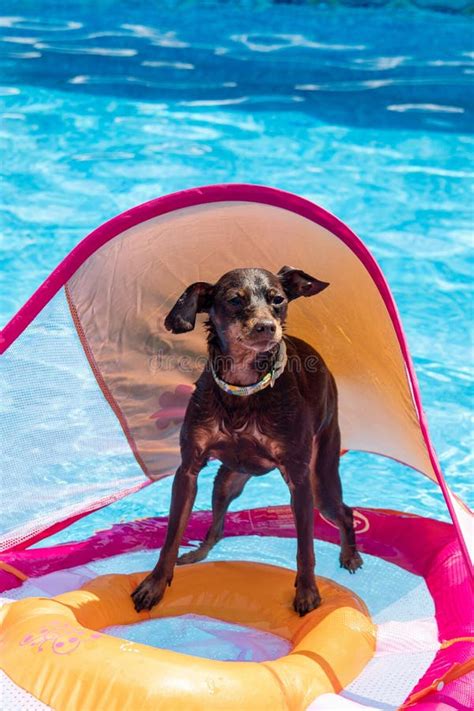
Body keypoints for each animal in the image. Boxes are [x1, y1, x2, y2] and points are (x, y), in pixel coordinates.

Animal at [131, 268, 362, 616]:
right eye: (234, 300)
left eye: (278, 300)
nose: (266, 326)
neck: (244, 386)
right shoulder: (188, 471)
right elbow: (171, 537)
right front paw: (154, 585)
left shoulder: (299, 481)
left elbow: (305, 547)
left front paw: (307, 592)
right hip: (227, 481)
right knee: (218, 526)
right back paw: (198, 554)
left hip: (320, 481)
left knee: (344, 512)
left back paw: (350, 556)